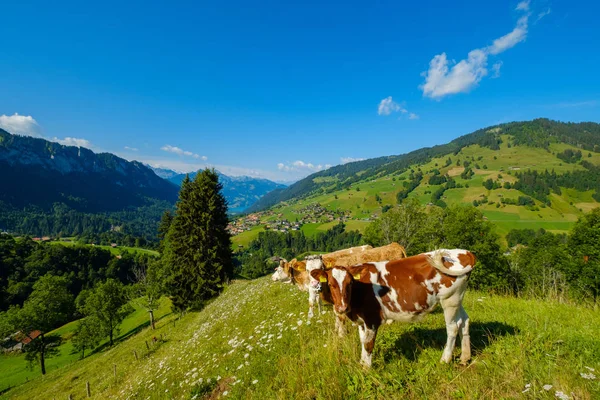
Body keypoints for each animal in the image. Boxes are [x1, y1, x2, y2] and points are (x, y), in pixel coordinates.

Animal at [312, 250, 476, 368]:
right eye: (331, 284)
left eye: (350, 283)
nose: (342, 307)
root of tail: (464, 252)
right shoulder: (361, 320)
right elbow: (363, 341)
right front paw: (362, 363)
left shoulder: (372, 319)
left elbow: (368, 344)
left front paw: (366, 369)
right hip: (457, 299)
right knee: (464, 321)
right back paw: (464, 358)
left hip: (449, 300)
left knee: (453, 327)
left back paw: (445, 360)